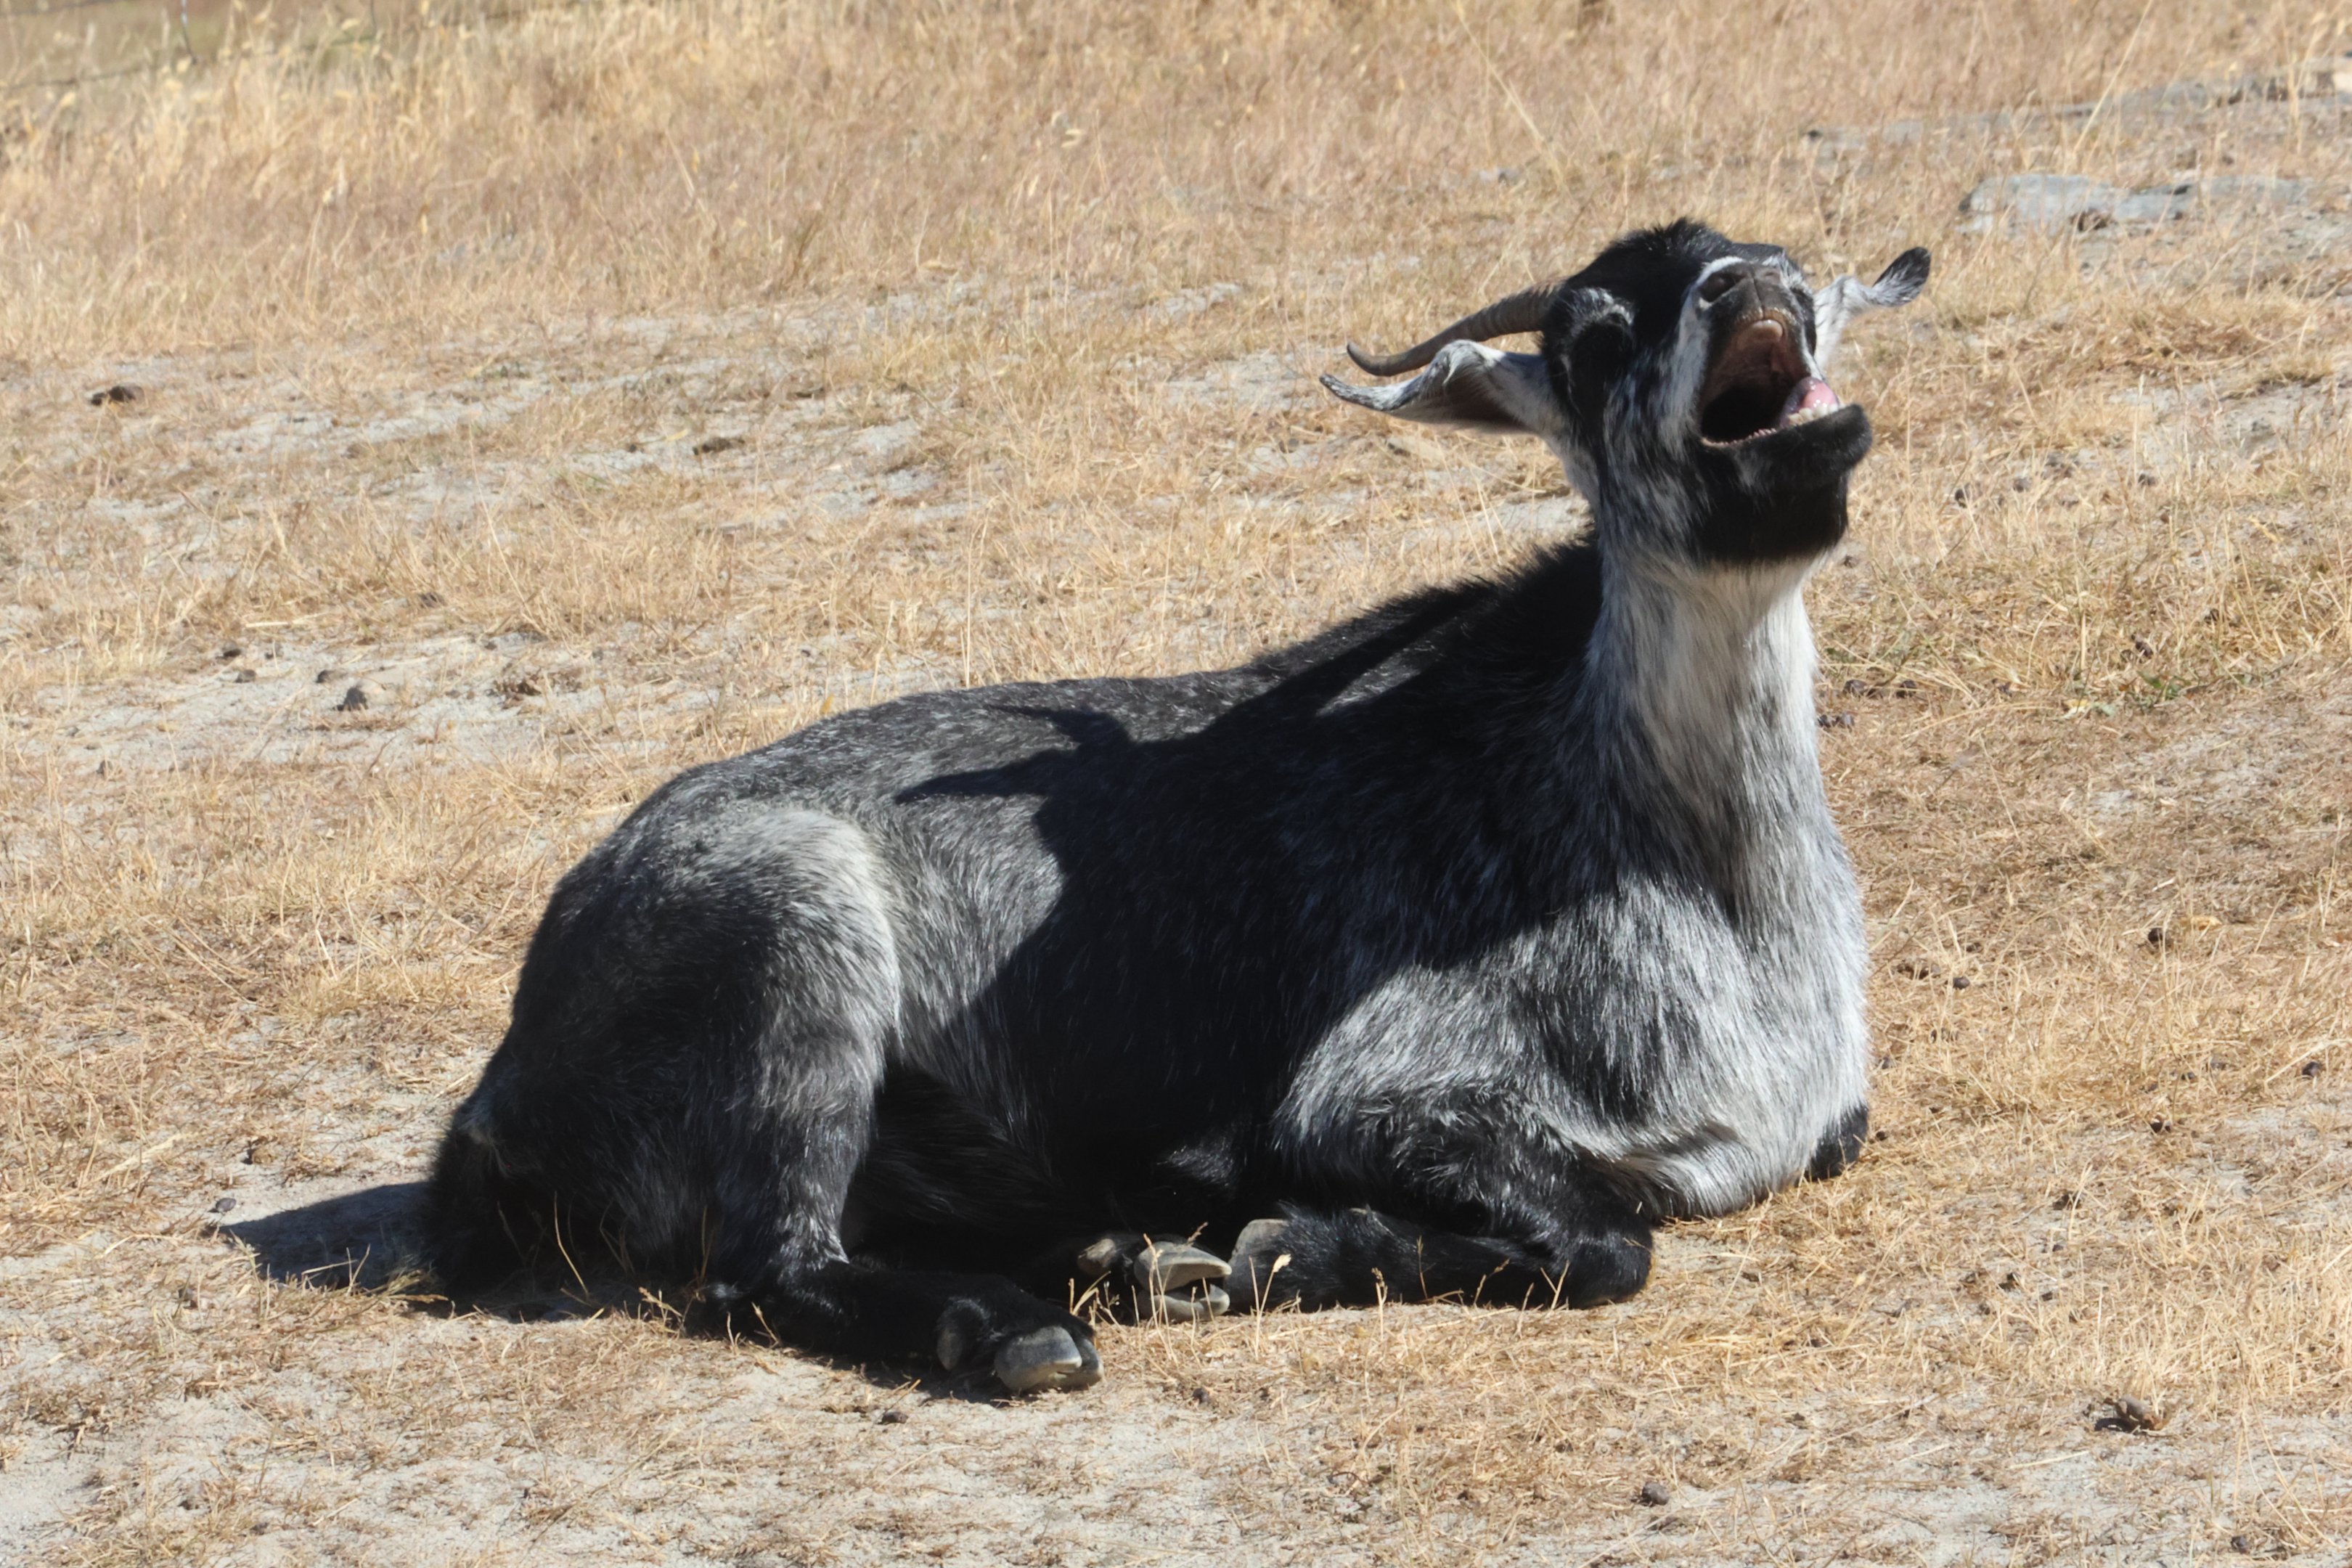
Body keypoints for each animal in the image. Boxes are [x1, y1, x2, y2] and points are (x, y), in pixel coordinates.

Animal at [425, 219, 1929, 1395]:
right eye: (1588, 340)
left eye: (1783, 262)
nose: (1748, 284)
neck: (1708, 874)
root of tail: (505, 1086)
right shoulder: (1376, 1094)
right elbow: (1608, 1246)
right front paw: (1298, 1246)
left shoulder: (1820, 1123)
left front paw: (1246, 1252)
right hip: (797, 944)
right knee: (766, 1268)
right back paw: (1022, 1332)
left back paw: (1115, 1259)